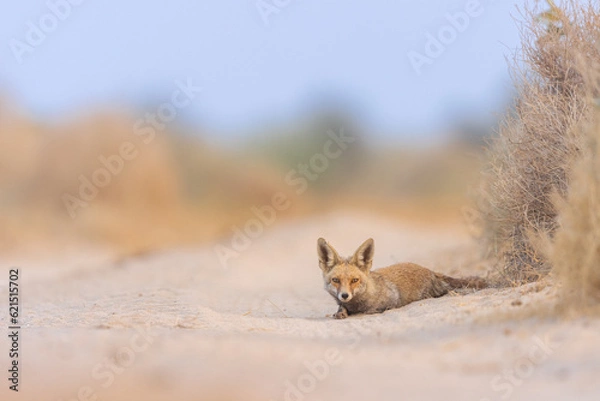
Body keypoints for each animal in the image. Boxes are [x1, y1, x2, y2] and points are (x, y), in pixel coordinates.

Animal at [316, 236, 486, 318]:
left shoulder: (392, 300)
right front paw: (341, 312)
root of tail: (430, 270)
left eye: (354, 280)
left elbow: (371, 310)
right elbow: (341, 308)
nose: (344, 295)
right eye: (335, 280)